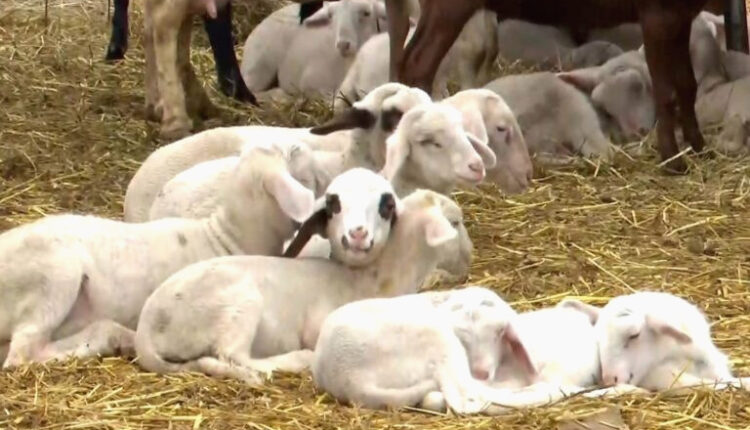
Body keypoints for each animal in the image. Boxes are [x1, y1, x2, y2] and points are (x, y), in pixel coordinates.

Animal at [134, 186, 471, 383]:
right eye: (455, 222)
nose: (469, 256)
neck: (377, 277)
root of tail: (147, 327)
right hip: (241, 302)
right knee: (232, 354)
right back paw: (293, 361)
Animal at [311, 286, 538, 412]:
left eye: (500, 333)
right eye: (463, 339)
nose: (480, 372)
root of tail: (348, 378)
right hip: (435, 338)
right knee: (464, 398)